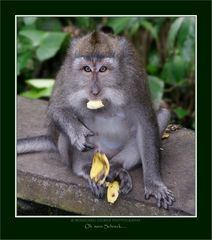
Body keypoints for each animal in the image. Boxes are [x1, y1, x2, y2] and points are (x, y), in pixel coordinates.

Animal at [17, 31, 174, 209]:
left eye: (103, 69)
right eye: (86, 69)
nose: (94, 91)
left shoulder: (134, 78)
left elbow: (146, 122)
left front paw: (154, 184)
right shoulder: (67, 74)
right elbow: (56, 108)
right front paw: (78, 133)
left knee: (162, 115)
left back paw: (117, 167)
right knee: (75, 117)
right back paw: (83, 167)